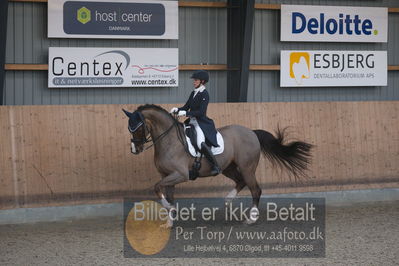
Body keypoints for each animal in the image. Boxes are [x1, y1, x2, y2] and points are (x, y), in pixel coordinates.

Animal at [122, 104, 312, 224]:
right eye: (129, 128)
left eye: (138, 127)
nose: (134, 149)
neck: (169, 141)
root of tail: (251, 132)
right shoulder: (167, 176)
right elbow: (166, 194)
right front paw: (169, 221)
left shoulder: (180, 175)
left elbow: (156, 187)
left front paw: (169, 208)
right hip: (228, 168)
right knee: (240, 182)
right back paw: (228, 200)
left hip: (247, 168)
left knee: (256, 190)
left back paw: (251, 218)